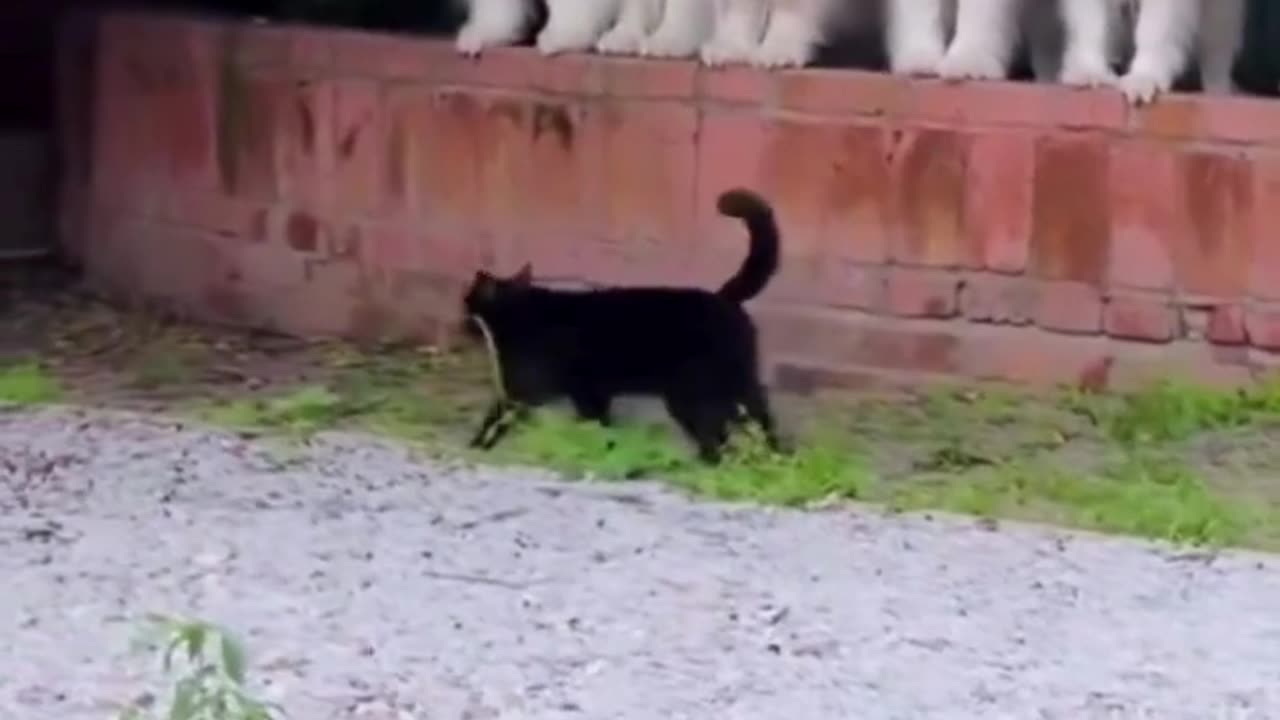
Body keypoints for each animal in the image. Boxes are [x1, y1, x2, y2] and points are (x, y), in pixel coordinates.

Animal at [460, 188, 778, 461]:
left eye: (468, 301)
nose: (461, 316)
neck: (522, 310)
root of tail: (724, 296)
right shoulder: (590, 390)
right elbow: (599, 422)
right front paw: (605, 447)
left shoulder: (524, 387)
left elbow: (497, 417)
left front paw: (476, 445)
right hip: (737, 381)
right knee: (758, 417)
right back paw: (773, 457)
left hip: (693, 391)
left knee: (717, 431)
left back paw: (711, 462)